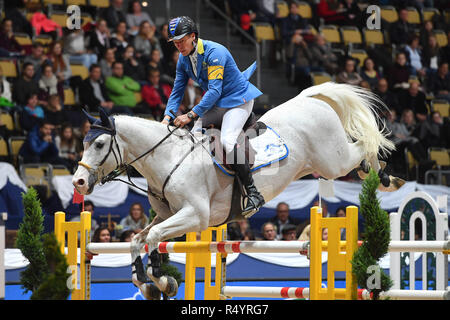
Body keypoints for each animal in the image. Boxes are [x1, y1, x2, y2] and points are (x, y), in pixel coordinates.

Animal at [73, 82, 404, 298]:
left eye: (99, 144)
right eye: (84, 142)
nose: (78, 182)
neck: (168, 157)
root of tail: (309, 98)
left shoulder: (196, 216)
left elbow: (153, 237)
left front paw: (161, 280)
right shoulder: (166, 215)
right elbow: (137, 239)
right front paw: (147, 283)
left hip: (333, 160)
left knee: (364, 144)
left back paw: (384, 176)